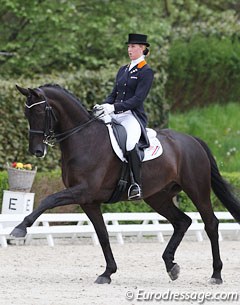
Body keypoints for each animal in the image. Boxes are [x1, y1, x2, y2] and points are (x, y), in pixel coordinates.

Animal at [11, 82, 240, 282]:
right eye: (26, 114)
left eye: (40, 113)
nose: (36, 151)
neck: (83, 138)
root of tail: (193, 140)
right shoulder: (88, 201)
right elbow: (102, 235)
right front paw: (107, 273)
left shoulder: (83, 190)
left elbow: (48, 200)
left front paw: (20, 228)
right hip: (157, 197)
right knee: (182, 222)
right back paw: (171, 266)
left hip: (196, 189)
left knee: (211, 224)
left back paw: (216, 274)